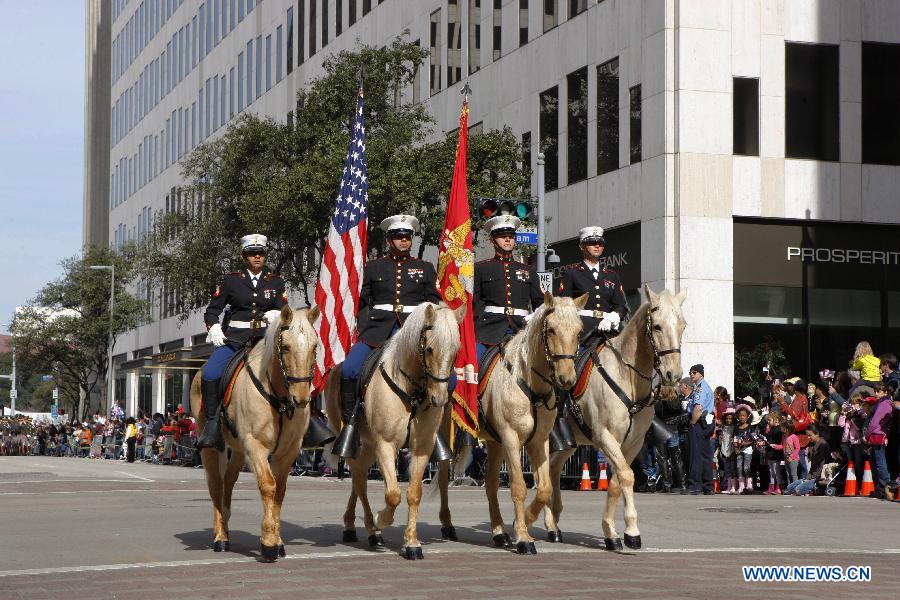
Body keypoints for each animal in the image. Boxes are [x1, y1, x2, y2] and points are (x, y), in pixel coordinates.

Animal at [186, 304, 320, 564]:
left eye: (315, 347)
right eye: (285, 347)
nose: (301, 398)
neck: (279, 397)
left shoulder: (288, 451)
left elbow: (280, 491)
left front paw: (277, 541)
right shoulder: (256, 445)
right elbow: (268, 485)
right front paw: (268, 543)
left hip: (238, 450)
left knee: (228, 481)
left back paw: (226, 526)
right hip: (212, 446)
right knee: (216, 484)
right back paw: (220, 537)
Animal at [324, 302, 464, 560]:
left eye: (456, 350)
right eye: (430, 349)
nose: (439, 399)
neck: (411, 390)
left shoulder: (421, 448)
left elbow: (413, 493)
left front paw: (412, 542)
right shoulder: (385, 445)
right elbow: (393, 494)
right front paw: (381, 519)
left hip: (368, 447)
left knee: (359, 480)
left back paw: (353, 524)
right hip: (357, 442)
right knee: (360, 481)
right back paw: (371, 529)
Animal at [544, 284, 684, 552]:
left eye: (683, 325)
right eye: (657, 326)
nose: (673, 374)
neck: (628, 377)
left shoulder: (633, 443)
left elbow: (618, 480)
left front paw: (612, 532)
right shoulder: (605, 437)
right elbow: (627, 476)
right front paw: (631, 531)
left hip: (570, 443)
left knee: (554, 468)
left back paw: (553, 522)